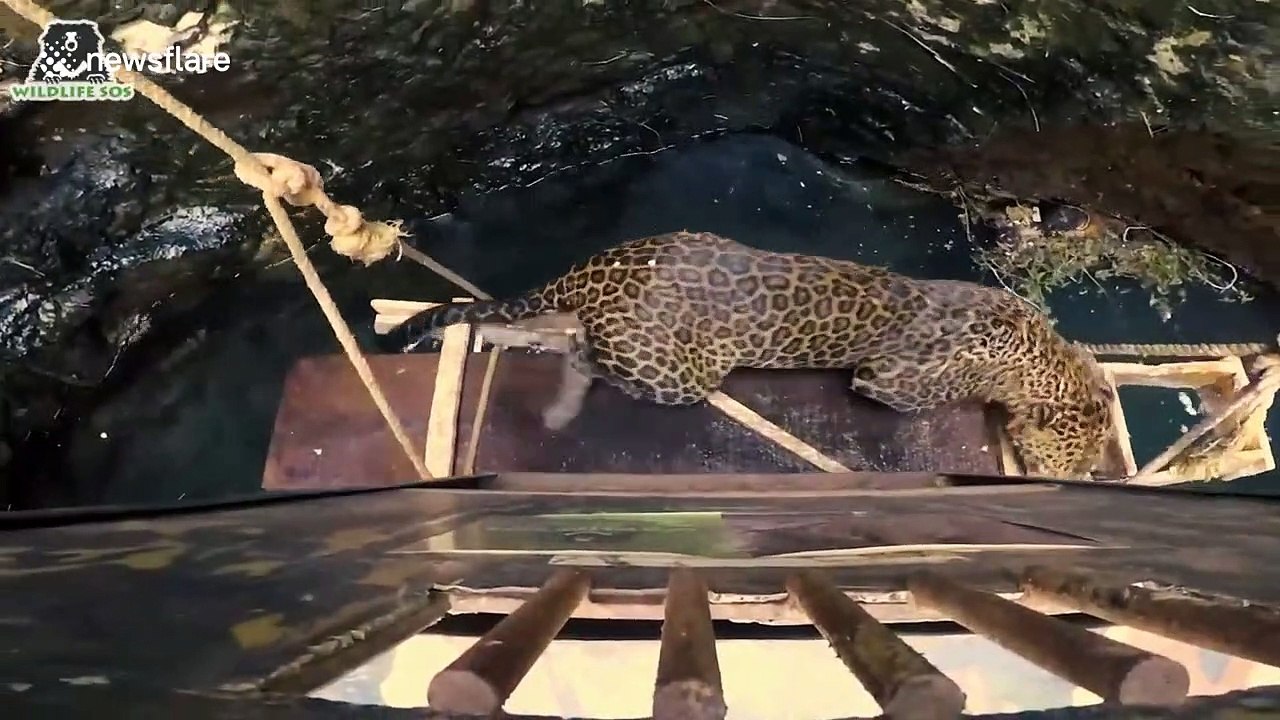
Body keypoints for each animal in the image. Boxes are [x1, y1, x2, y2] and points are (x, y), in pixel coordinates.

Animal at [385, 231, 1116, 480]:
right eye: (1075, 456)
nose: (1084, 478)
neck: (1039, 355)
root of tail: (590, 272)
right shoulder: (885, 382)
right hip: (674, 373)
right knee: (581, 355)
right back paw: (564, 404)